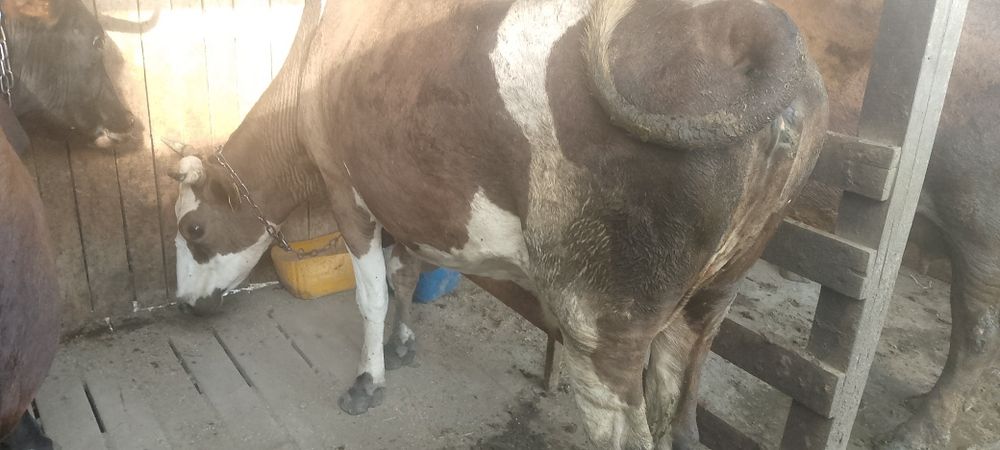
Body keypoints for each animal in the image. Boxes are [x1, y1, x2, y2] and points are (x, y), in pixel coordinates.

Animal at [170, 0, 828, 448]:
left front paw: (368, 378)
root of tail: (749, 24)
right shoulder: (409, 196)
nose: (183, 304)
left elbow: (371, 296)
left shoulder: (345, 192)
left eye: (192, 231)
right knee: (684, 412)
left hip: (599, 312)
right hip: (714, 295)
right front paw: (403, 344)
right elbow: (404, 272)